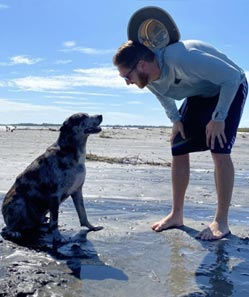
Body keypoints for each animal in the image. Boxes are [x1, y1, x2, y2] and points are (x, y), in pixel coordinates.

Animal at [0, 112, 102, 242]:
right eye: (83, 116)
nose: (101, 115)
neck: (70, 151)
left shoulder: (77, 191)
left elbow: (83, 213)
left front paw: (91, 227)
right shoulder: (54, 195)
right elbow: (55, 221)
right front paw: (58, 237)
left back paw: (42, 225)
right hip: (19, 203)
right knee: (6, 229)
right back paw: (14, 232)